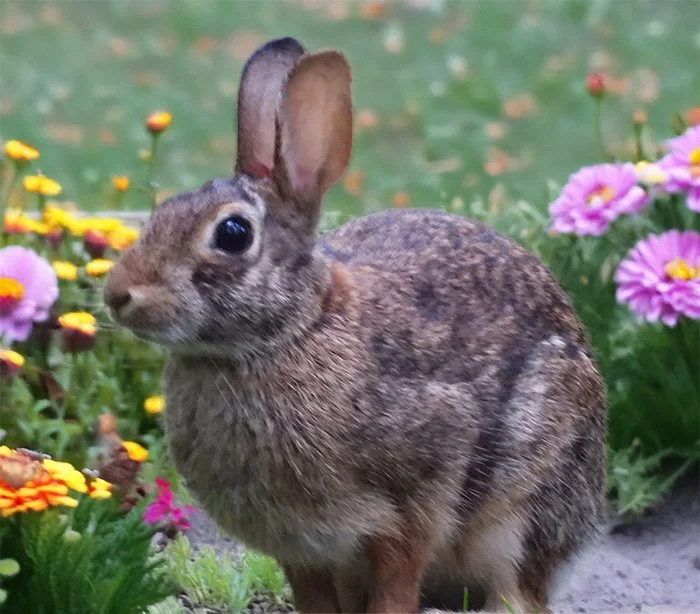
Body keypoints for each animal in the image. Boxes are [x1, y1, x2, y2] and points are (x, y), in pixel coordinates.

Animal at [104, 37, 607, 614]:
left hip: (525, 509)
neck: (291, 333)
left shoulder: (412, 508)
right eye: (162, 209)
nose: (117, 295)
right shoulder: (301, 550)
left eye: (232, 233)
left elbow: (398, 583)